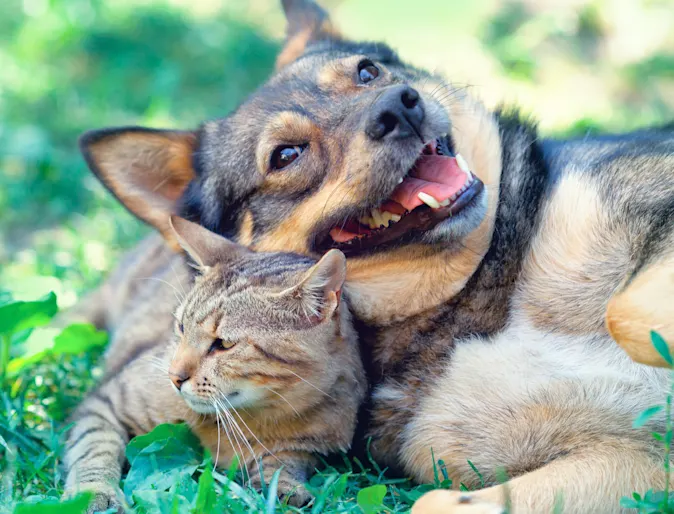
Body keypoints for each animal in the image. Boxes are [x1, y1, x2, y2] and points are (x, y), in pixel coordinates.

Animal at [63, 215, 364, 508]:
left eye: (224, 345)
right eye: (181, 327)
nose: (174, 377)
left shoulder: (309, 447)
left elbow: (283, 464)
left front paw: (282, 488)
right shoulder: (107, 402)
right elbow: (94, 448)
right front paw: (94, 493)